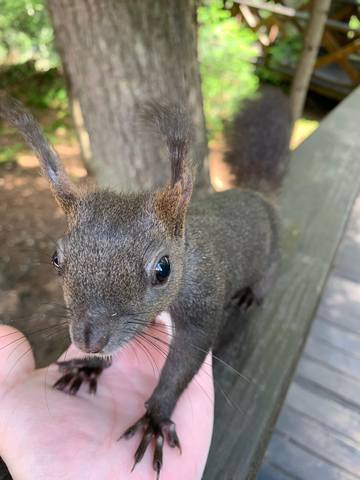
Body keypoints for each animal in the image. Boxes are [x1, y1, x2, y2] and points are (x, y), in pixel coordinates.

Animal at [0, 87, 290, 480]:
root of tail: (255, 194)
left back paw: (250, 295)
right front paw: (89, 365)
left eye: (163, 269)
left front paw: (155, 416)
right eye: (56, 258)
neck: (187, 255)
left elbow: (183, 361)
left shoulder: (203, 304)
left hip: (271, 259)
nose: (88, 341)